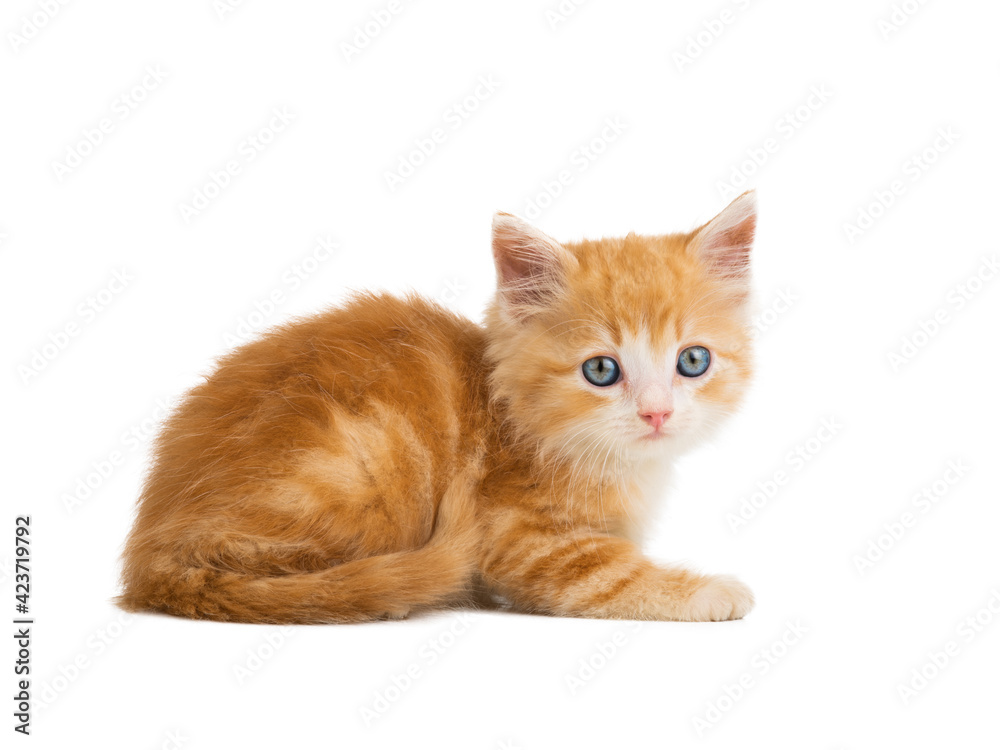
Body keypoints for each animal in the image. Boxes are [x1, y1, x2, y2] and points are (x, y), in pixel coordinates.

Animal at [117, 191, 756, 624]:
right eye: (601, 371)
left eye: (692, 361)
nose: (657, 413)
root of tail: (149, 547)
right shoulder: (522, 537)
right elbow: (608, 574)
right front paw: (710, 591)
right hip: (362, 466)